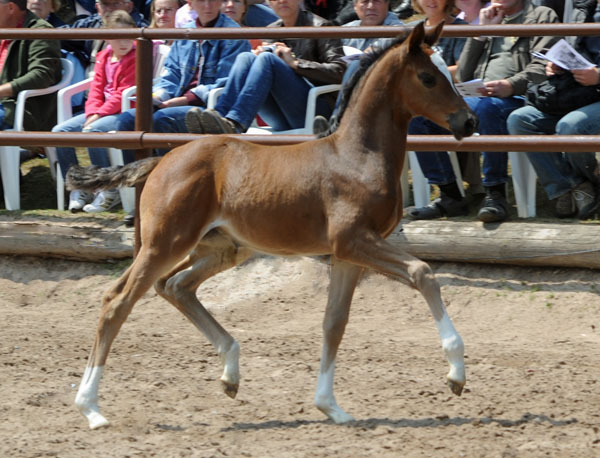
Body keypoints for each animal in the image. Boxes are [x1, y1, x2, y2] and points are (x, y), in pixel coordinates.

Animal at [67, 20, 478, 430]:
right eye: (428, 78)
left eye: (448, 73)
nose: (468, 120)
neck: (356, 155)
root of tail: (161, 160)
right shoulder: (354, 240)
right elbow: (422, 273)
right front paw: (456, 374)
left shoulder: (346, 255)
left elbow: (334, 322)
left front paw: (330, 406)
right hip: (165, 243)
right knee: (118, 300)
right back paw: (90, 408)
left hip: (222, 249)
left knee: (175, 286)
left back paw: (230, 373)